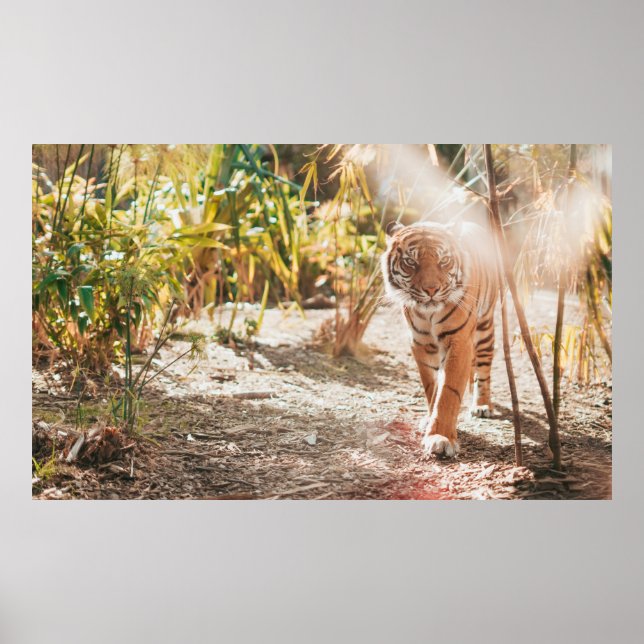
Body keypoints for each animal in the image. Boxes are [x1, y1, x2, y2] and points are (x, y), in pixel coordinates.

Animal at [381, 220, 499, 457]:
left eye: (443, 261)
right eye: (410, 262)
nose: (431, 290)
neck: (429, 314)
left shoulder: (458, 341)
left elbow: (448, 392)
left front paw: (440, 438)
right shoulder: (421, 343)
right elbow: (432, 387)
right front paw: (429, 420)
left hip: (485, 328)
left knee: (483, 370)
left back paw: (482, 405)